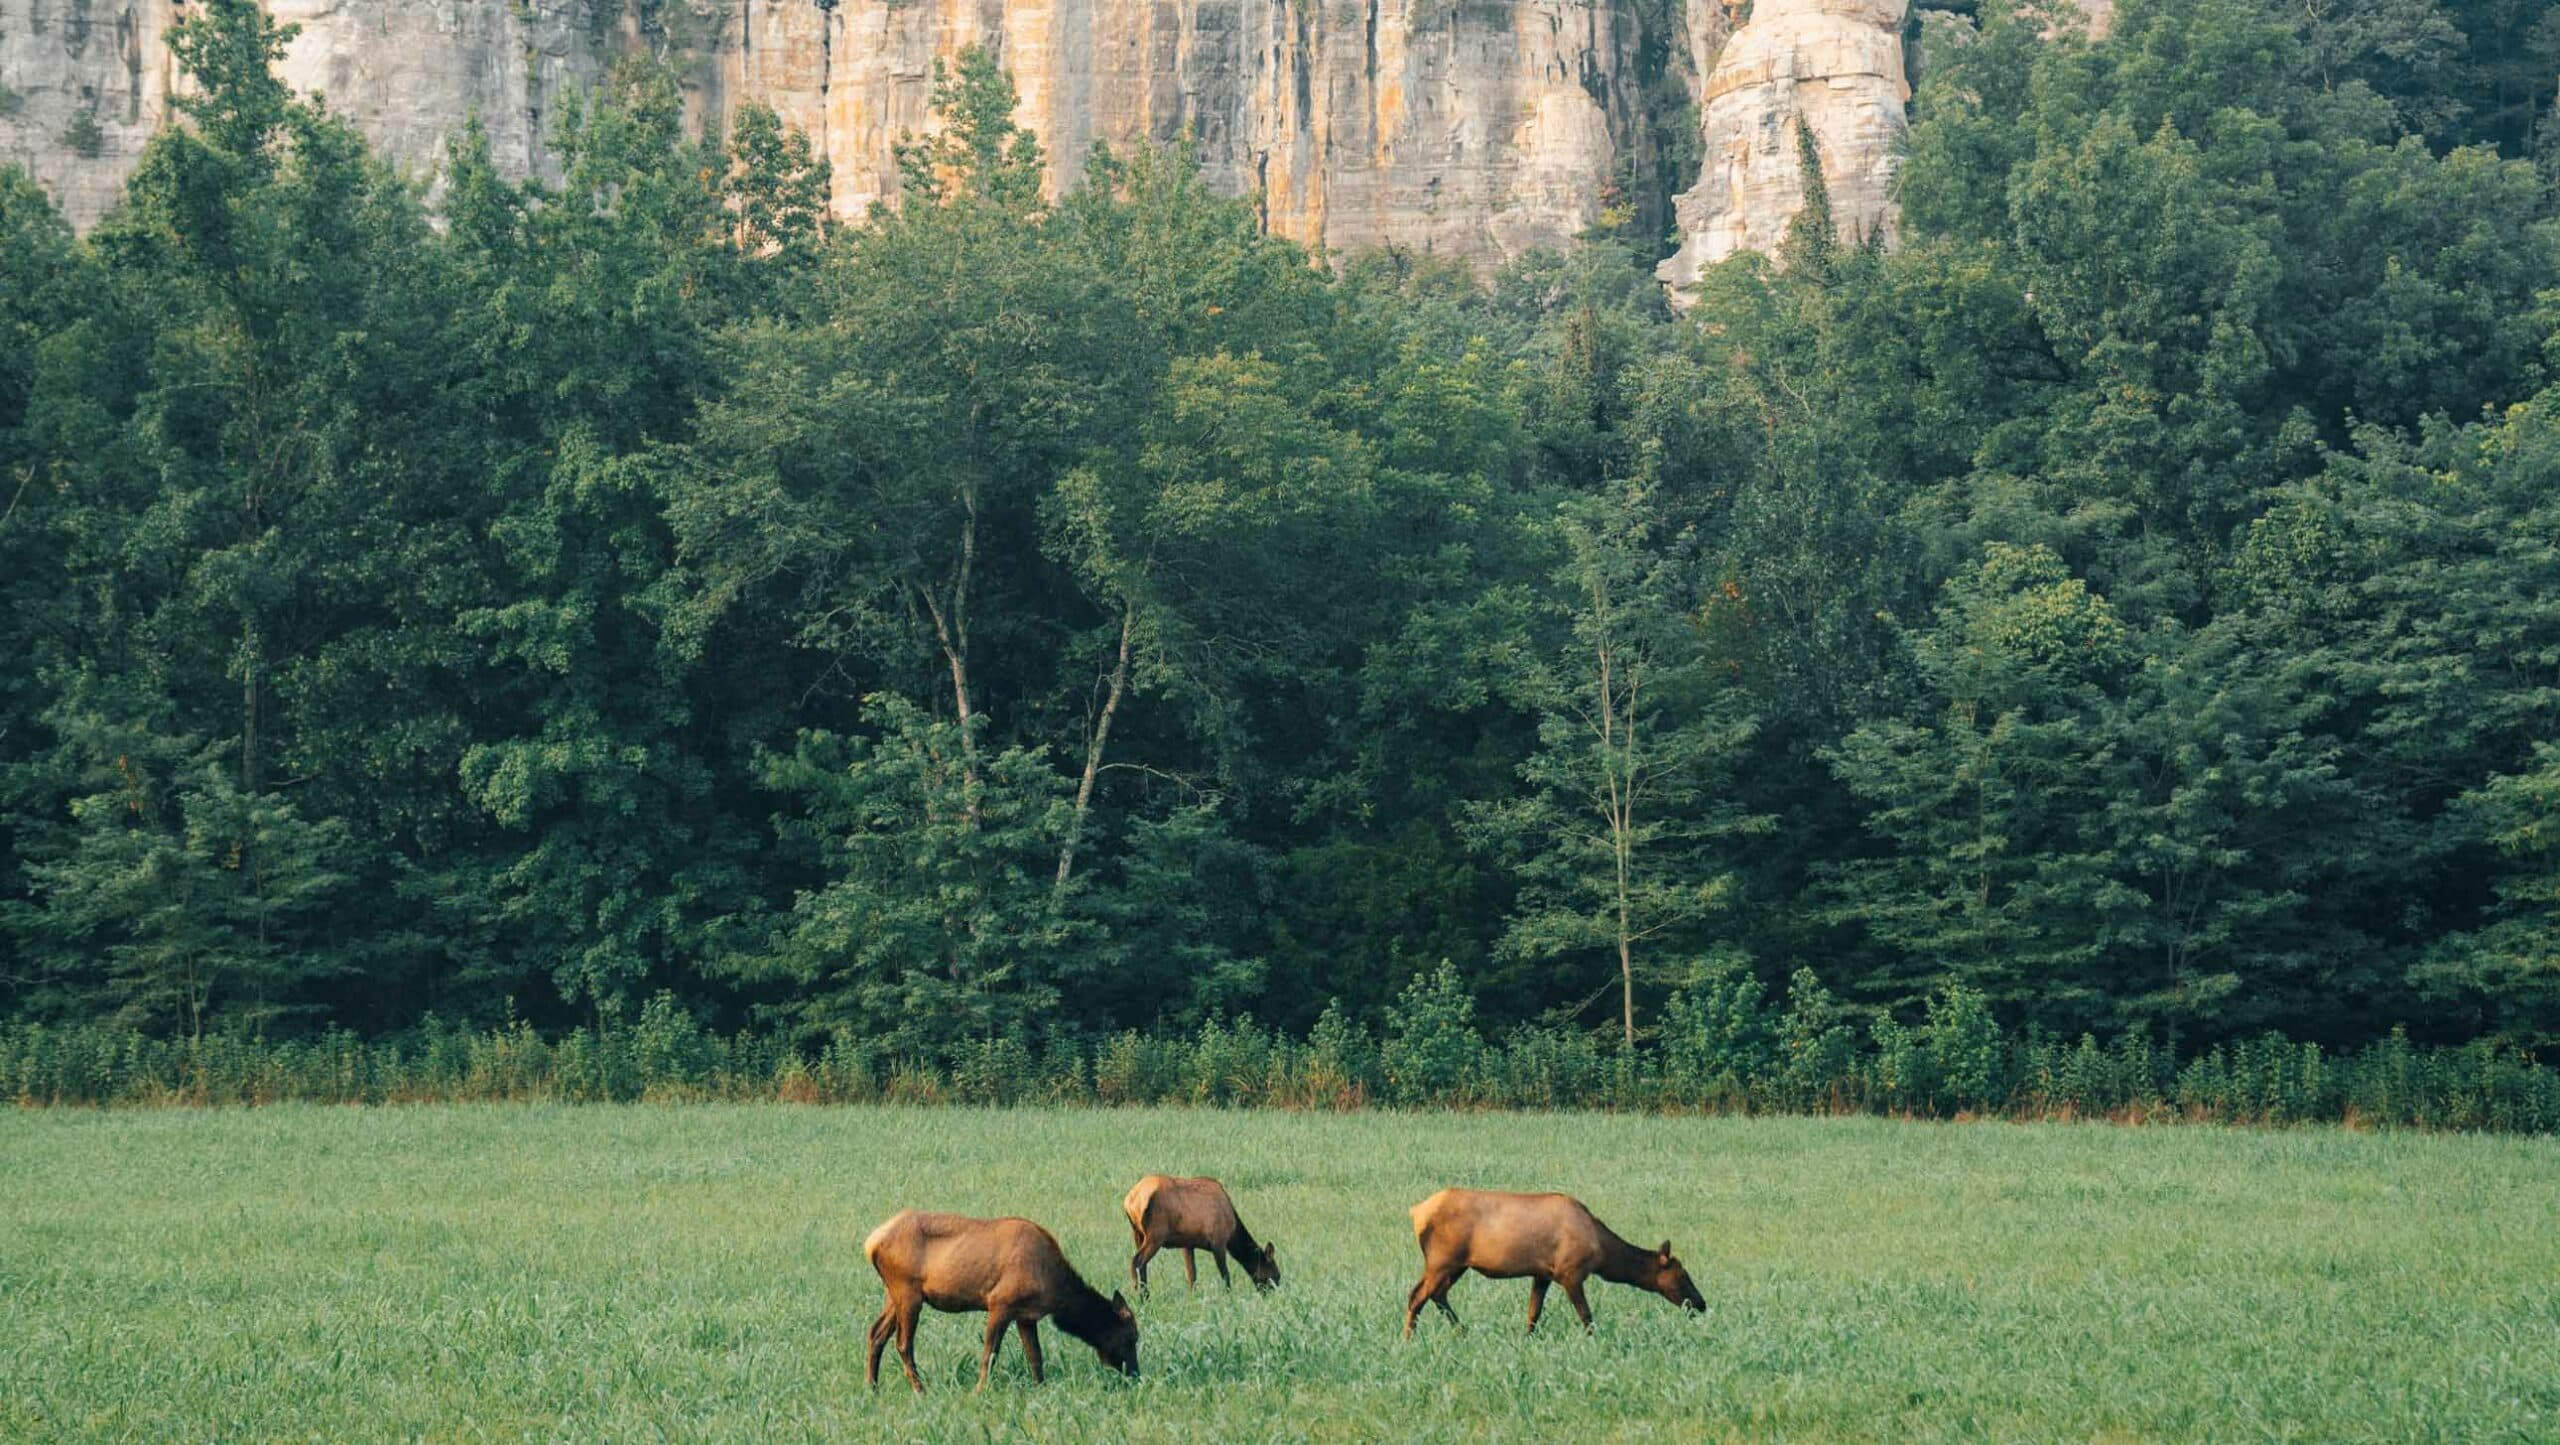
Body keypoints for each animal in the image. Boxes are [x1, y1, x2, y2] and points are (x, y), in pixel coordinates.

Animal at [865, 1209, 1136, 1404]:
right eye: (1130, 1337)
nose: (1135, 1374)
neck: (1055, 1287)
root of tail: (870, 1244)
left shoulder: (1026, 1315)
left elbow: (1035, 1356)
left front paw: (1041, 1388)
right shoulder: (1000, 1303)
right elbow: (990, 1353)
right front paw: (978, 1391)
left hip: (894, 1295)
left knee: (875, 1333)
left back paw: (872, 1387)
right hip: (908, 1292)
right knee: (903, 1344)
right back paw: (920, 1390)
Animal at [1121, 1173, 1280, 1296]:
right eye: (1275, 1274)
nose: (1276, 1292)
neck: (1233, 1230)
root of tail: (1131, 1200)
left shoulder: (1187, 1244)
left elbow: (1192, 1276)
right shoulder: (1218, 1240)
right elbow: (1225, 1274)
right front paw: (1229, 1297)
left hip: (1137, 1233)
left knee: (1142, 1264)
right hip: (1156, 1234)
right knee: (1137, 1261)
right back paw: (1140, 1294)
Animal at [1402, 1188, 1699, 1342]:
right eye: (1683, 1275)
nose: (1701, 1304)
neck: (1603, 1255)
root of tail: (1416, 1211)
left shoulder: (1542, 1274)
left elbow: (1533, 1313)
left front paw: (1527, 1340)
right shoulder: (1571, 1273)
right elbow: (1586, 1316)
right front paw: (1595, 1342)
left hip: (1456, 1265)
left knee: (1437, 1295)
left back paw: (1462, 1331)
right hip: (1442, 1261)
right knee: (1417, 1296)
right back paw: (1408, 1339)